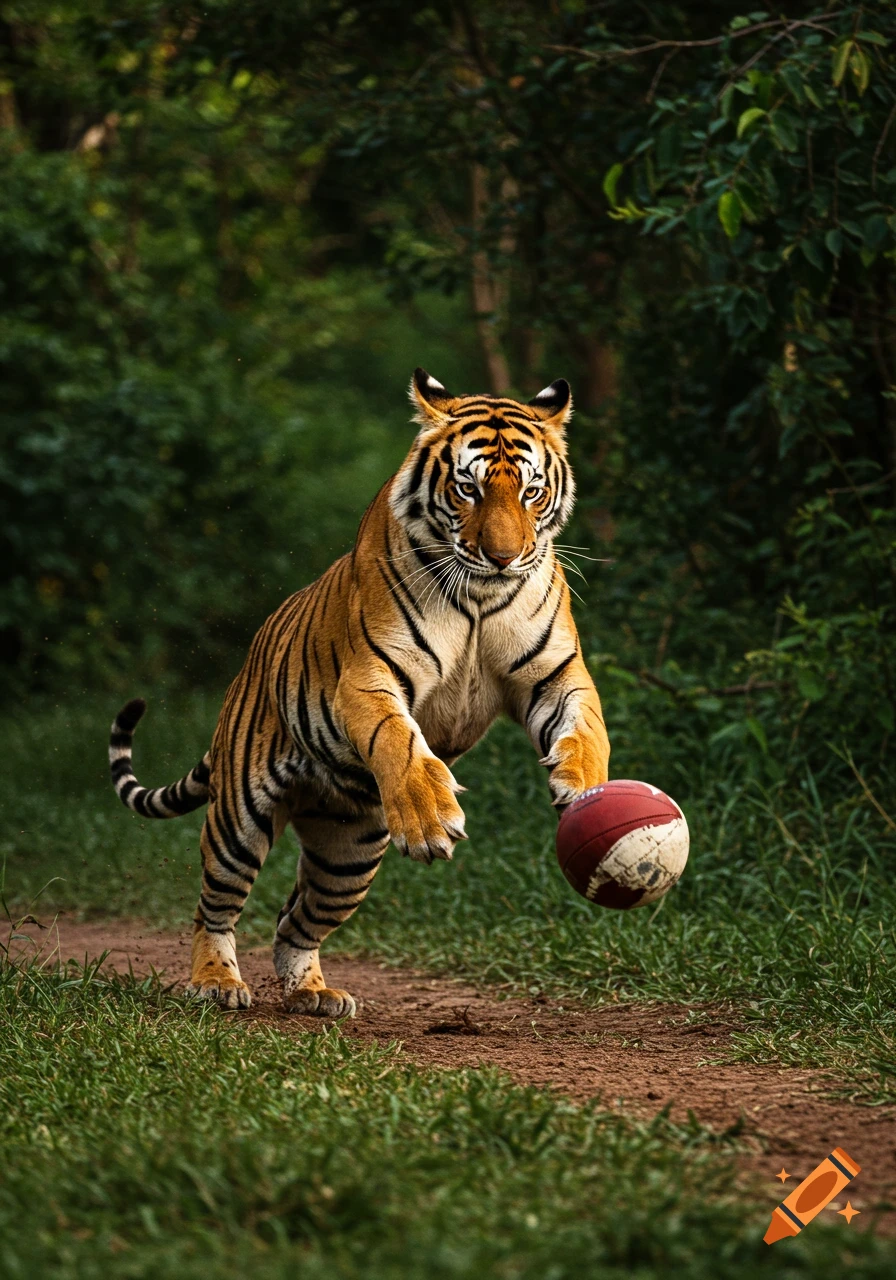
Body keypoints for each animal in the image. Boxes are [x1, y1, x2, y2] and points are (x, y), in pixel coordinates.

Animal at [109, 369, 610, 1016]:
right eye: (468, 489)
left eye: (531, 492)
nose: (502, 557)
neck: (481, 595)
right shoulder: (370, 674)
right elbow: (396, 737)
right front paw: (429, 815)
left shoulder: (555, 672)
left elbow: (587, 726)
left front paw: (587, 788)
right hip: (237, 821)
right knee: (214, 907)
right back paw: (217, 982)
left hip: (347, 853)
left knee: (294, 922)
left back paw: (314, 993)